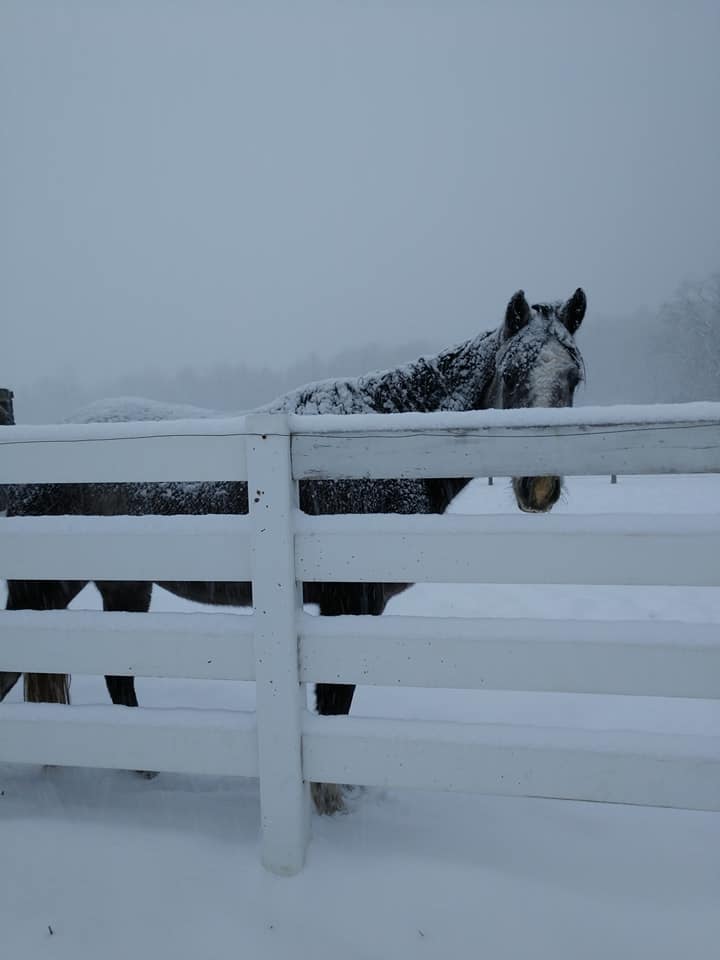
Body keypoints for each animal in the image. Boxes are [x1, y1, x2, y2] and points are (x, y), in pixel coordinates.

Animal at [1, 288, 584, 812]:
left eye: (574, 376)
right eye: (511, 373)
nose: (538, 487)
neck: (375, 445)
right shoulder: (348, 604)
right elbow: (333, 704)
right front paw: (329, 803)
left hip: (121, 588)